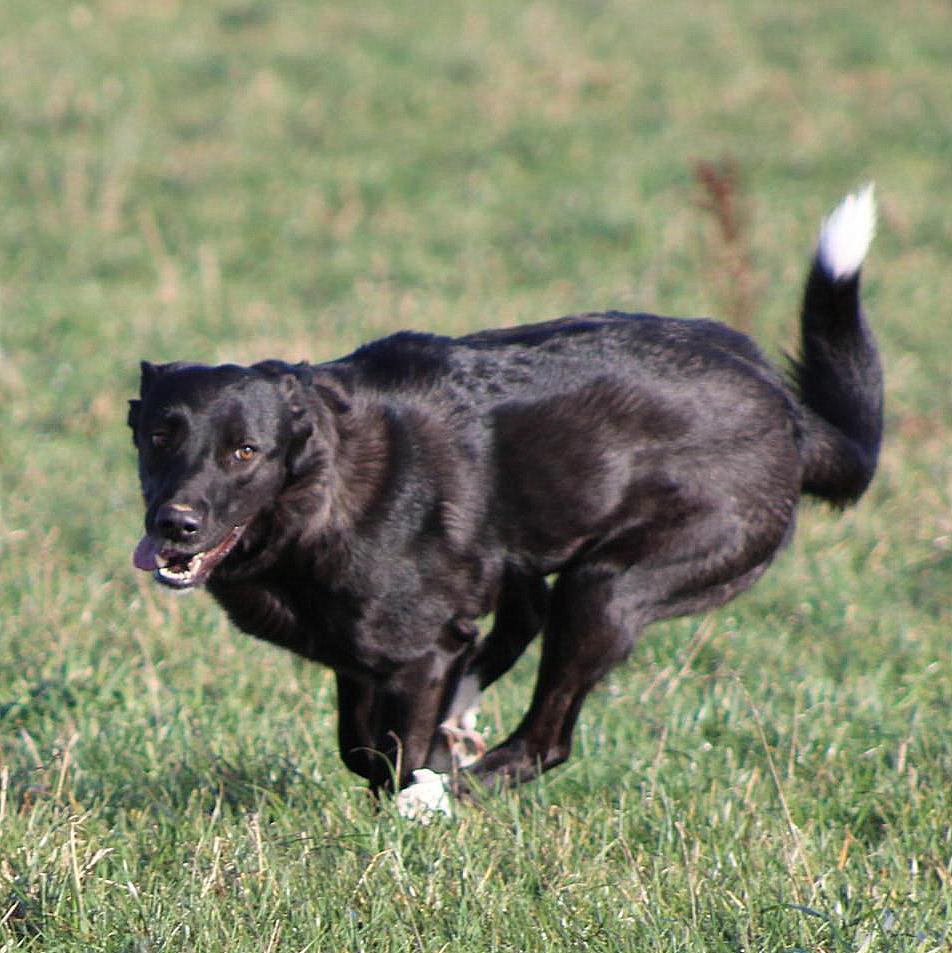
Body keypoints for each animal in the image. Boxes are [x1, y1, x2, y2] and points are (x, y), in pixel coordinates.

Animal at [129, 187, 881, 815]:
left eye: (244, 451)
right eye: (161, 436)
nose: (176, 523)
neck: (318, 484)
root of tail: (789, 410)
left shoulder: (418, 651)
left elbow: (393, 748)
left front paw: (416, 793)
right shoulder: (366, 655)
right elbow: (362, 744)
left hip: (613, 583)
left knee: (546, 737)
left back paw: (449, 790)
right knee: (524, 614)